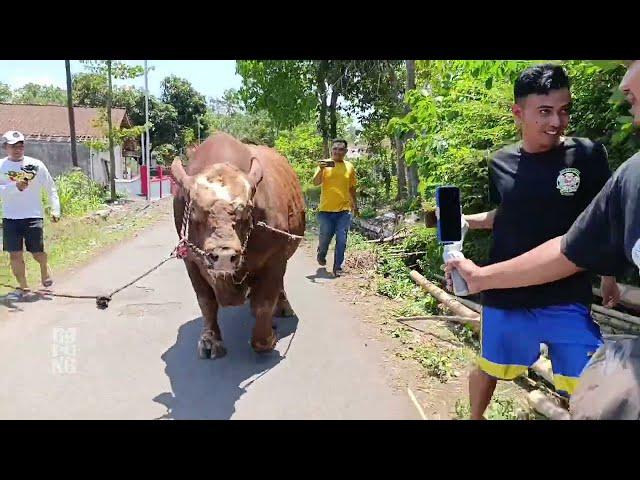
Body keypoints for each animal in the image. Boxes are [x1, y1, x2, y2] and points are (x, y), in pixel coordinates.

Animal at [171, 133, 306, 358]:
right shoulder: (191, 260)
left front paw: (267, 338)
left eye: (247, 210)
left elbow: (264, 304)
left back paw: (283, 307)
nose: (224, 255)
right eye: (195, 210)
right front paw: (210, 340)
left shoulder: (275, 258)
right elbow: (206, 302)